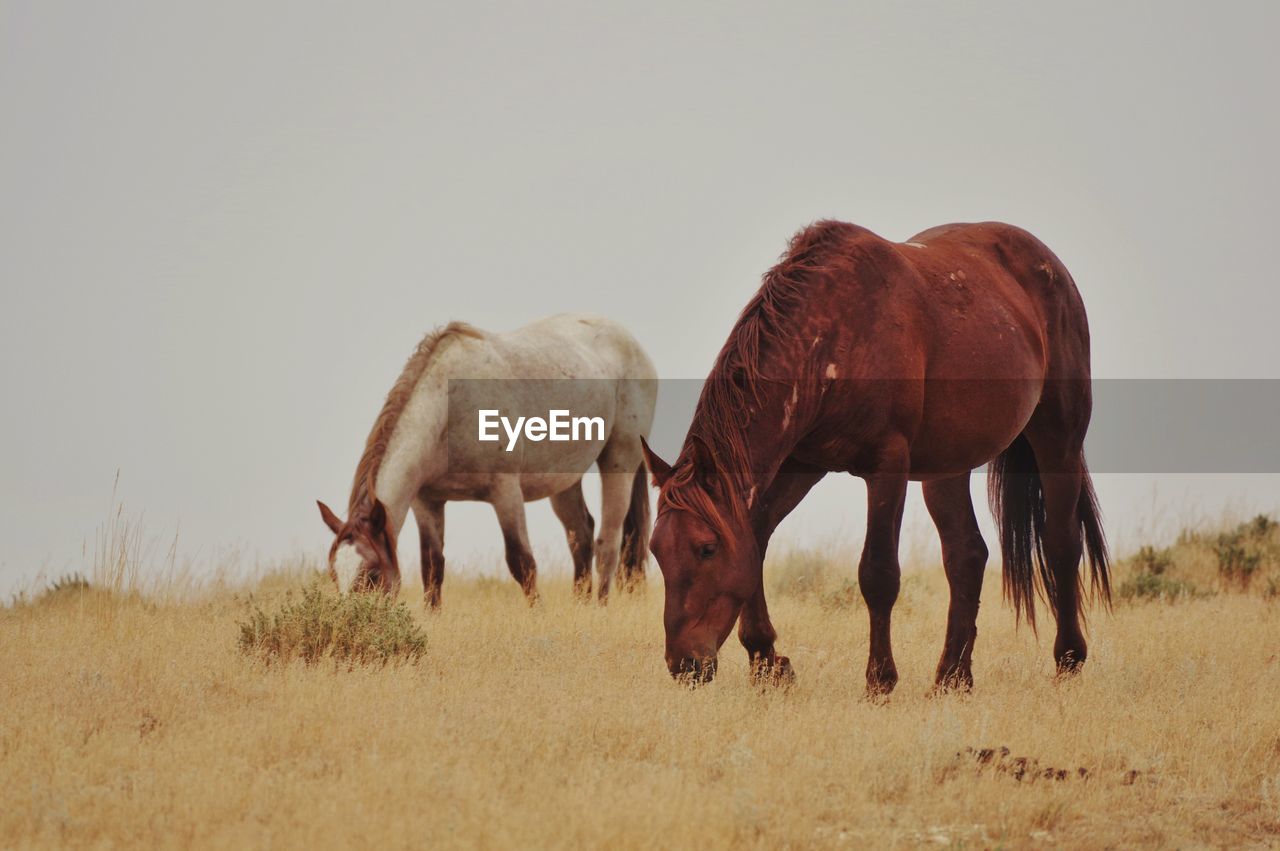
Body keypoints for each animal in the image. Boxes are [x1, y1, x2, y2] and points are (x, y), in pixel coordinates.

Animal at [320, 313, 660, 604]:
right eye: (335, 575)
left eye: (372, 575)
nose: (354, 622)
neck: (449, 408)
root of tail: (632, 344)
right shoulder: (427, 503)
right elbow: (433, 568)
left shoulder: (505, 492)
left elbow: (522, 562)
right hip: (565, 479)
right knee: (582, 537)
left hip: (619, 461)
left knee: (608, 543)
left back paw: (598, 608)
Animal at [640, 222, 1111, 696]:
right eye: (657, 550)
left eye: (706, 549)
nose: (684, 663)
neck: (834, 331)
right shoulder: (799, 466)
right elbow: (755, 540)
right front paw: (768, 661)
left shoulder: (887, 467)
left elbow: (879, 573)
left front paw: (880, 680)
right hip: (947, 467)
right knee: (966, 556)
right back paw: (952, 678)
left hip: (1058, 440)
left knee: (1061, 543)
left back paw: (1068, 659)